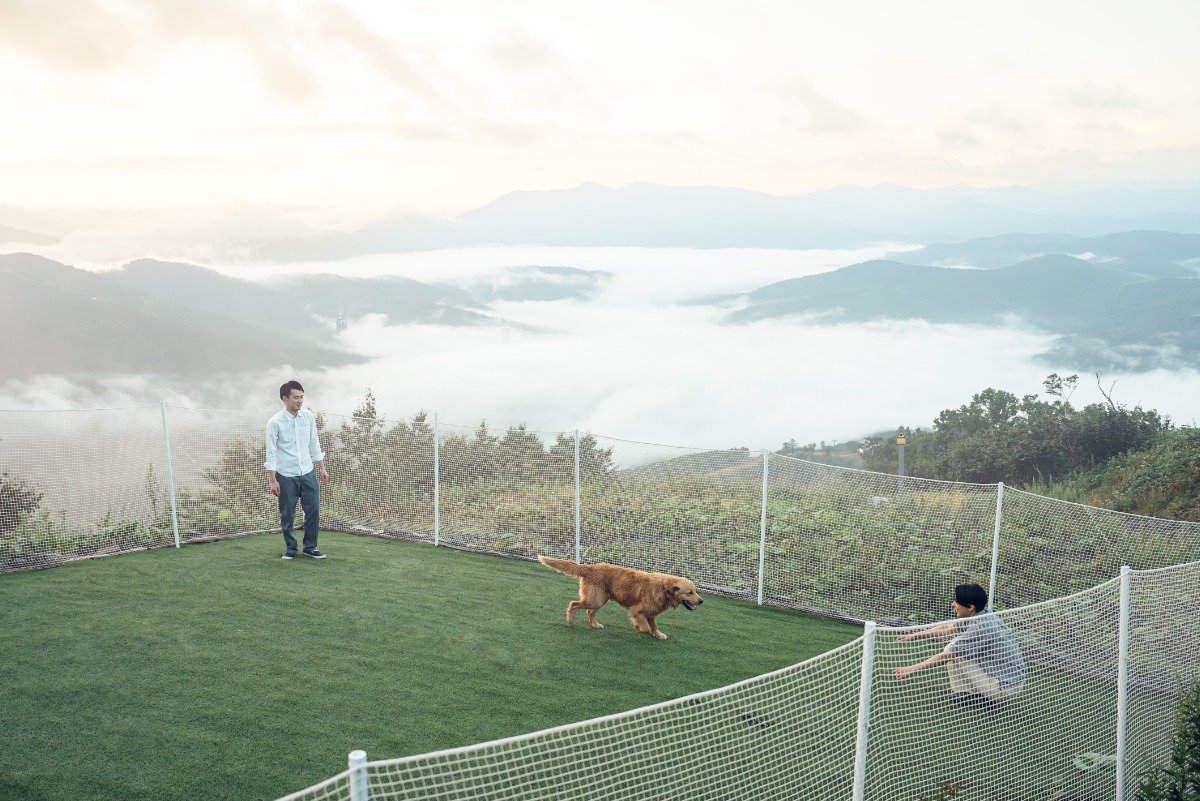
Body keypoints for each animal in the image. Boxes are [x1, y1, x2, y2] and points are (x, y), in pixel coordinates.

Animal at [537, 553, 700, 642]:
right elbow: (646, 627)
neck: (663, 588)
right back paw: (570, 620)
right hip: (595, 599)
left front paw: (658, 635)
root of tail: (591, 567)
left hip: (599, 600)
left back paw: (595, 625)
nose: (701, 600)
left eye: (695, 591)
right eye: (689, 592)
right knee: (573, 604)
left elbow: (653, 626)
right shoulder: (637, 611)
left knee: (589, 612)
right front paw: (639, 628)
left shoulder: (651, 613)